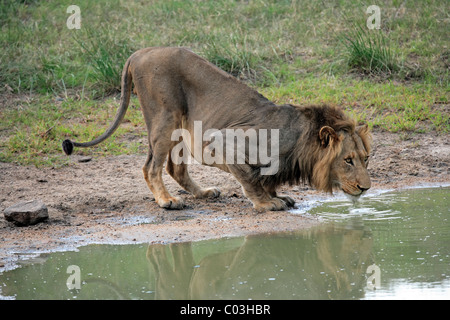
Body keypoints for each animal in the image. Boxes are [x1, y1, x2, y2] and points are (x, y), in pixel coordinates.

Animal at [63, 46, 372, 211]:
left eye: (366, 159)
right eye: (347, 160)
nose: (366, 188)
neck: (300, 140)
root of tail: (139, 52)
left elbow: (265, 178)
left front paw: (277, 196)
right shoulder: (224, 139)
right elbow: (251, 178)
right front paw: (266, 203)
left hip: (179, 125)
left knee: (175, 167)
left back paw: (203, 193)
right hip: (165, 116)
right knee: (151, 166)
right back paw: (166, 200)